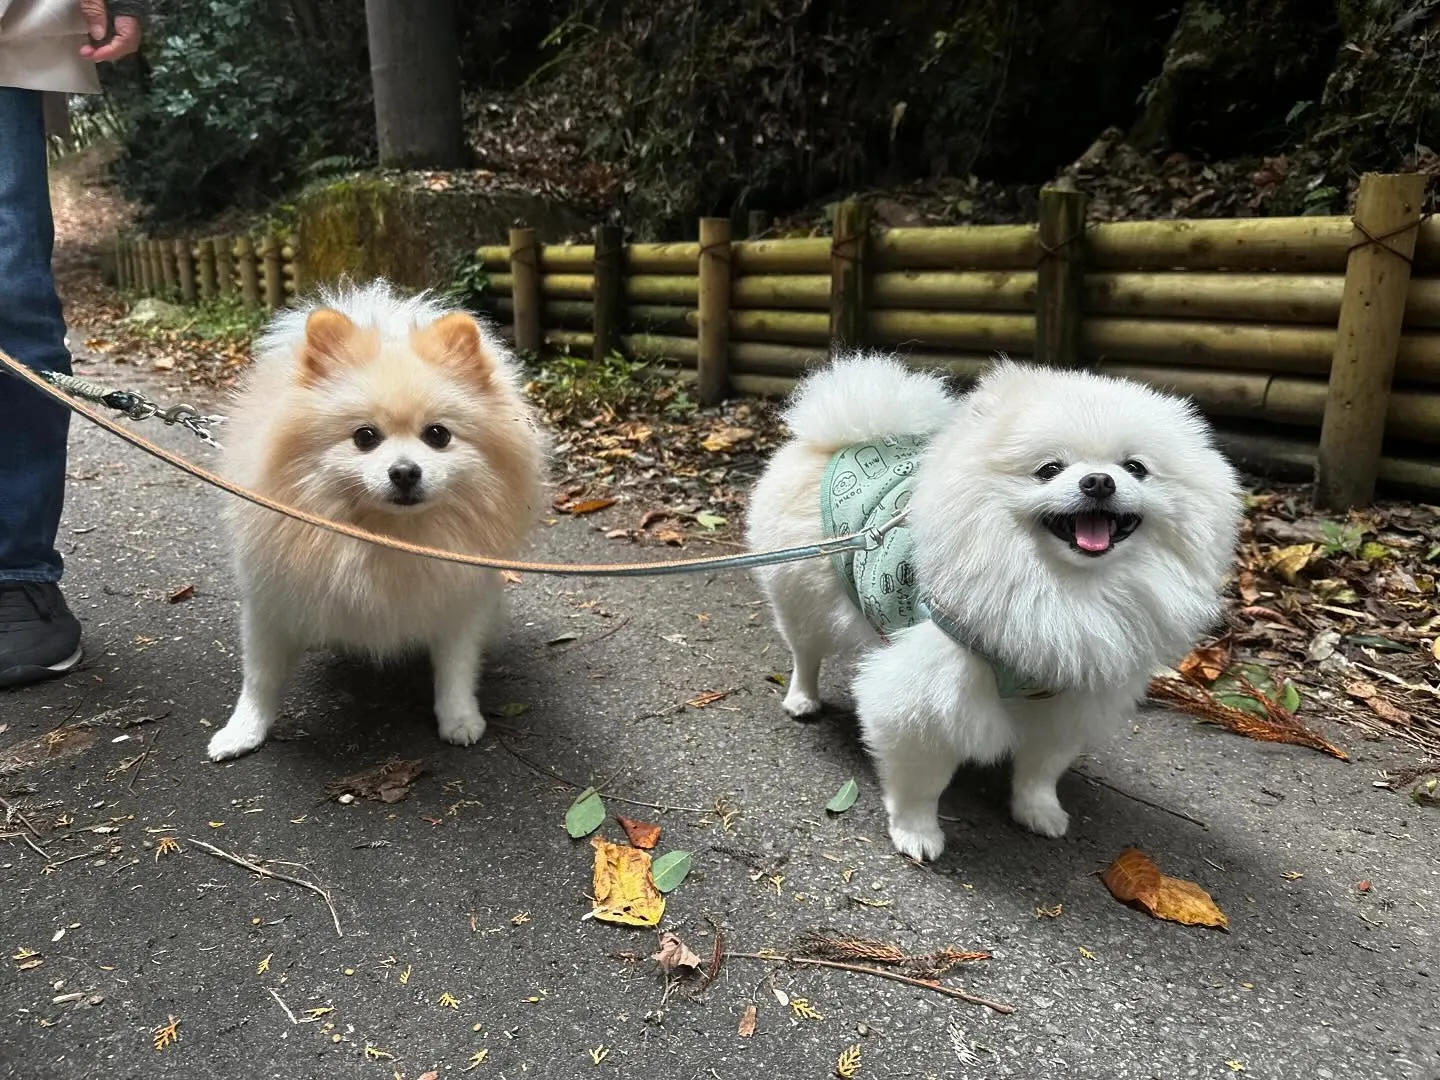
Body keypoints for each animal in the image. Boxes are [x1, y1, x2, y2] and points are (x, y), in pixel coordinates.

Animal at [200, 283, 541, 766]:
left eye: (438, 435)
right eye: (365, 437)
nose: (405, 472)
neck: (387, 536)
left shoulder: (457, 599)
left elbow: (455, 668)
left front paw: (459, 718)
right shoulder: (271, 601)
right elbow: (260, 676)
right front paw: (243, 730)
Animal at [748, 355, 1244, 864]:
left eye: (1135, 468)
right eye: (1049, 469)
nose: (1099, 481)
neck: (1068, 589)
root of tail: (854, 437)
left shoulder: (1067, 698)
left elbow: (1042, 768)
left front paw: (1038, 810)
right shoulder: (925, 698)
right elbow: (922, 781)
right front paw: (916, 831)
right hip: (800, 597)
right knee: (805, 652)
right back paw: (802, 698)